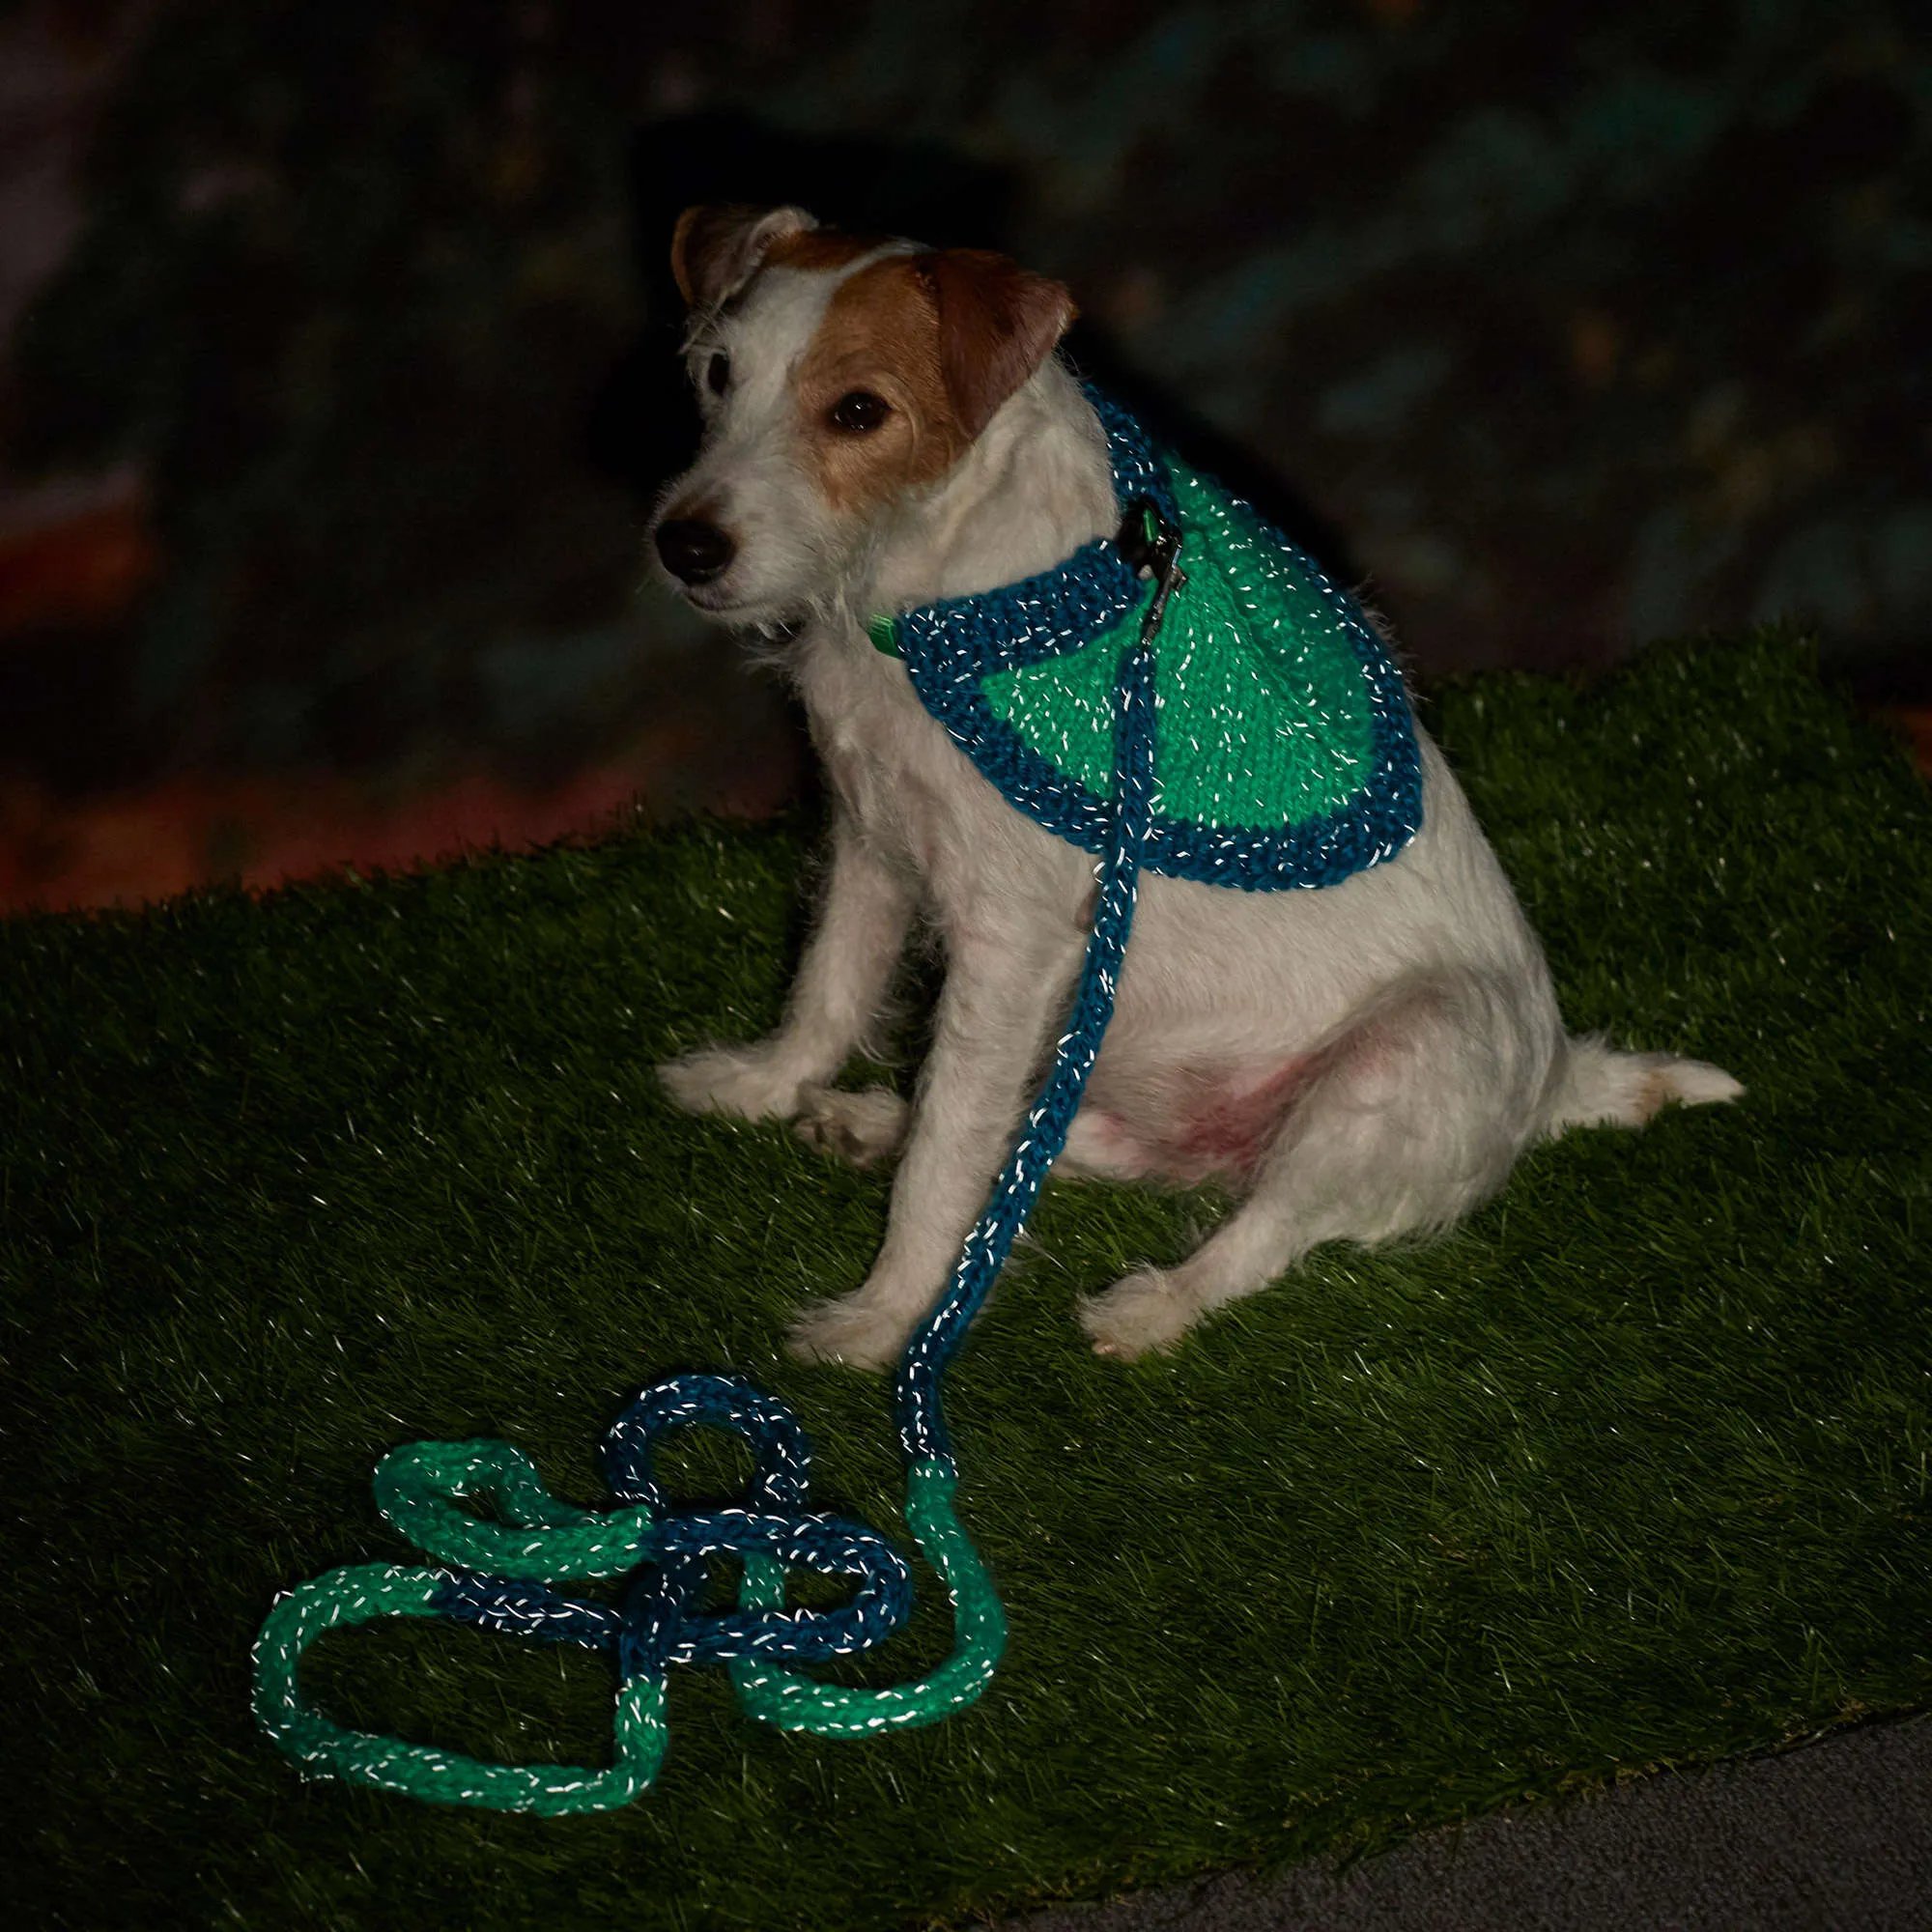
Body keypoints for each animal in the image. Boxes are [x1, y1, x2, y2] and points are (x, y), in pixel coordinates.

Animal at [649, 204, 1739, 1368]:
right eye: (715, 372)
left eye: (859, 411)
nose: (685, 546)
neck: (929, 589)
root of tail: (1555, 1082)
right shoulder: (870, 838)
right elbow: (828, 988)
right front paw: (762, 1085)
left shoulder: (1012, 938)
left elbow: (948, 1142)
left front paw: (887, 1317)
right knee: (1062, 1141)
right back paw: (869, 1121)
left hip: (1397, 1058)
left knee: (1260, 1227)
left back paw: (1151, 1306)